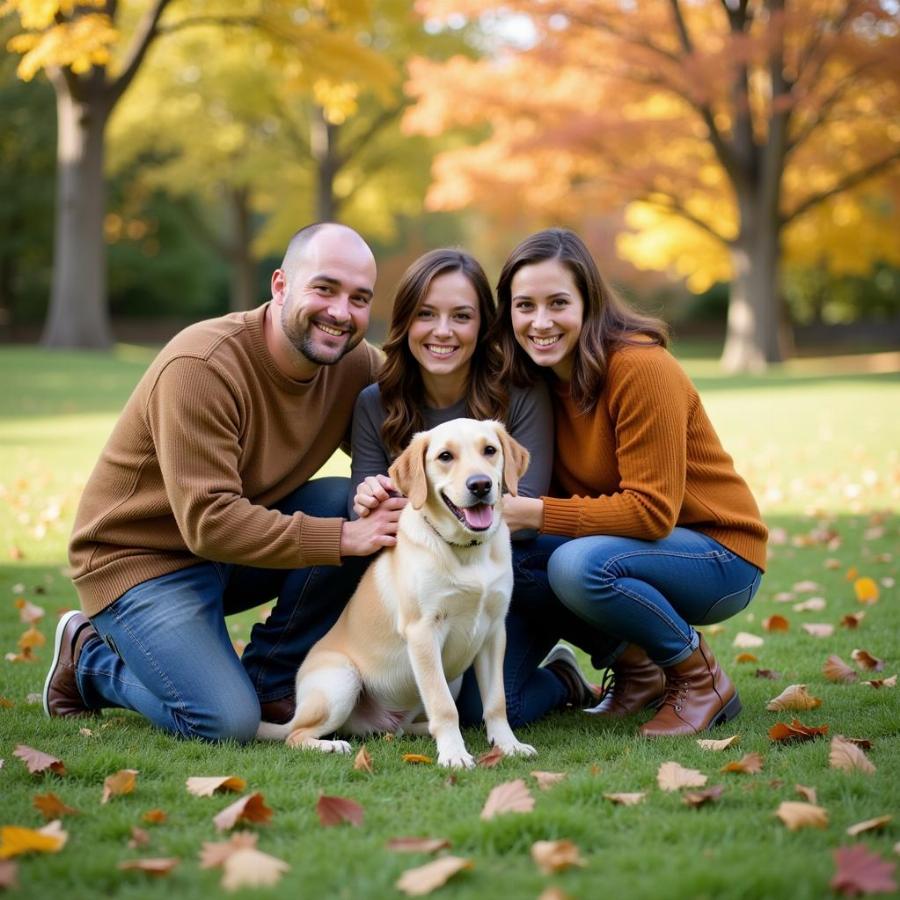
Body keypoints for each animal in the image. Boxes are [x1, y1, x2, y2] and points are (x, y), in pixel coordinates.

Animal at [255, 420, 536, 768]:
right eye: (445, 456)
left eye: (490, 450)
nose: (481, 485)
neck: (466, 551)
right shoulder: (423, 631)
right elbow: (443, 706)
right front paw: (454, 754)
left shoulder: (494, 631)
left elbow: (496, 702)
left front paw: (508, 745)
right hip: (341, 681)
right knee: (295, 735)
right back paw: (330, 745)